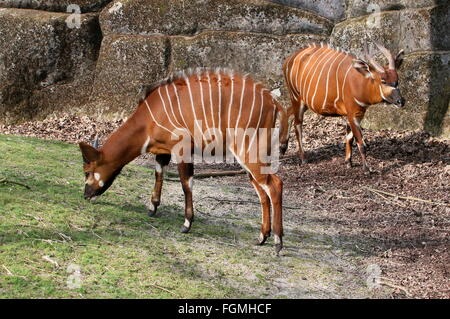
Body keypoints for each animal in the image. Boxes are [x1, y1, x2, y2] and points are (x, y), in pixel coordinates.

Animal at [79, 69, 290, 256]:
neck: (149, 118)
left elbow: (186, 184)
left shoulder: (182, 149)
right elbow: (159, 173)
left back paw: (278, 243)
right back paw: (262, 237)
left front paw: (187, 224)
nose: (86, 195)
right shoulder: (164, 152)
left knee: (275, 184)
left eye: (87, 171)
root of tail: (273, 102)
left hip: (247, 151)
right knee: (262, 191)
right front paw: (152, 208)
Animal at [284, 42, 406, 172]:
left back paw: (282, 147)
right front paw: (367, 169)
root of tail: (288, 59)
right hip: (296, 98)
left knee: (288, 113)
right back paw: (303, 158)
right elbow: (361, 143)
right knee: (297, 124)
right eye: (383, 81)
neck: (360, 83)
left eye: (397, 80)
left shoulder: (355, 114)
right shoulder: (352, 114)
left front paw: (349, 162)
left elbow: (349, 138)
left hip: (304, 101)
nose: (401, 101)